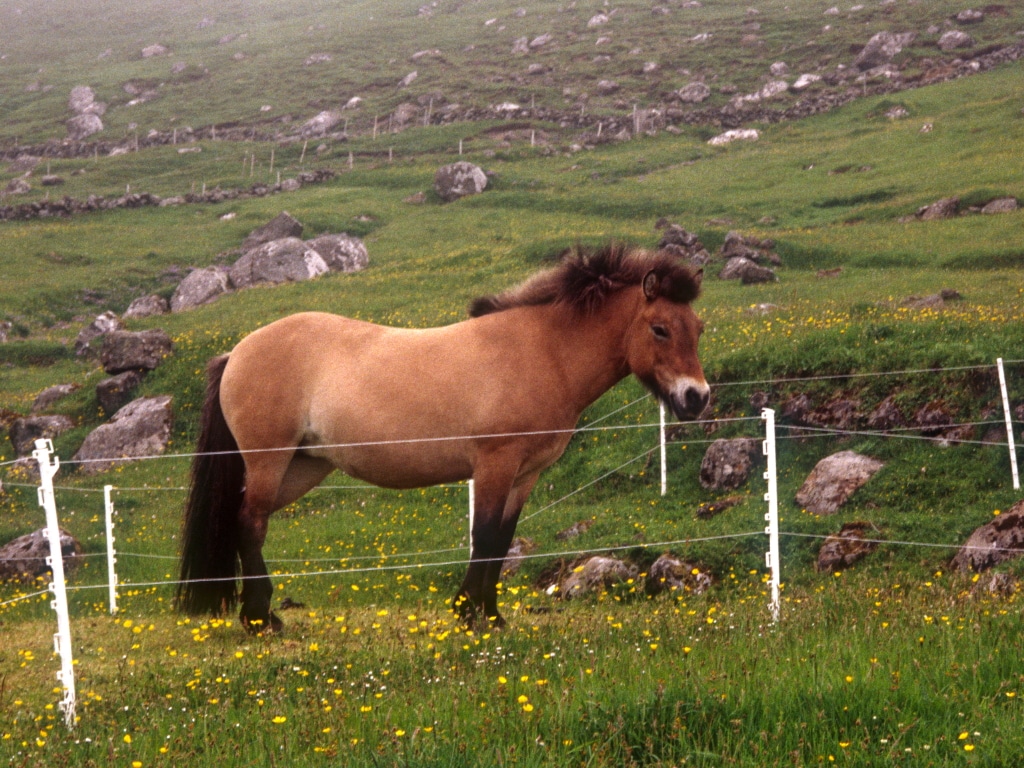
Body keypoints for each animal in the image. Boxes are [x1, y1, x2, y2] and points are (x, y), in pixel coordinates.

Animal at [176, 242, 710, 632]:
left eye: (698, 328)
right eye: (659, 329)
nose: (697, 398)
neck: (544, 351)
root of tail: (237, 352)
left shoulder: (526, 475)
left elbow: (503, 540)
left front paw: (489, 615)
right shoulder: (495, 463)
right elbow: (485, 536)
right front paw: (472, 615)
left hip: (303, 466)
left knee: (246, 520)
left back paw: (262, 613)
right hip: (270, 460)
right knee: (250, 523)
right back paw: (259, 619)